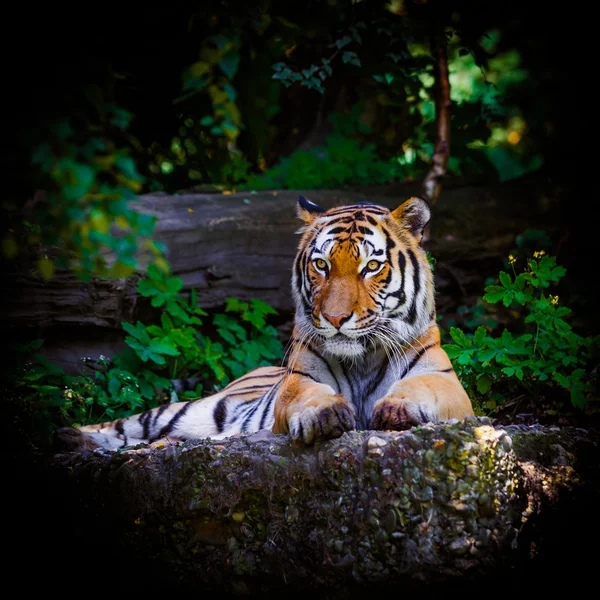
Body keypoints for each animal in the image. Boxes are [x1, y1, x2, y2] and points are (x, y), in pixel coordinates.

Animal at [54, 195, 474, 452]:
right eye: (321, 264)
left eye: (371, 266)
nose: (335, 318)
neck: (363, 360)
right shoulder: (297, 385)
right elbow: (310, 397)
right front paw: (325, 414)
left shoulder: (448, 384)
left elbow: (421, 386)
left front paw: (399, 408)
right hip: (192, 409)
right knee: (122, 425)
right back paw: (69, 436)